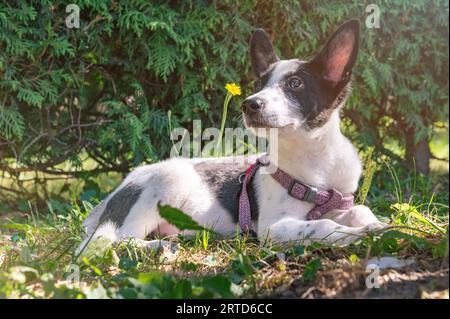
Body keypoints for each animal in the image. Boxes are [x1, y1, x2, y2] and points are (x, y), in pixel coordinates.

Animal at [77, 20, 384, 255]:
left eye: (295, 84)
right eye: (260, 84)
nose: (250, 104)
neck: (316, 163)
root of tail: (108, 202)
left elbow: (359, 210)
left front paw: (377, 225)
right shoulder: (274, 227)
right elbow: (323, 226)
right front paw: (358, 234)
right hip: (163, 185)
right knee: (109, 242)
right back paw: (156, 248)